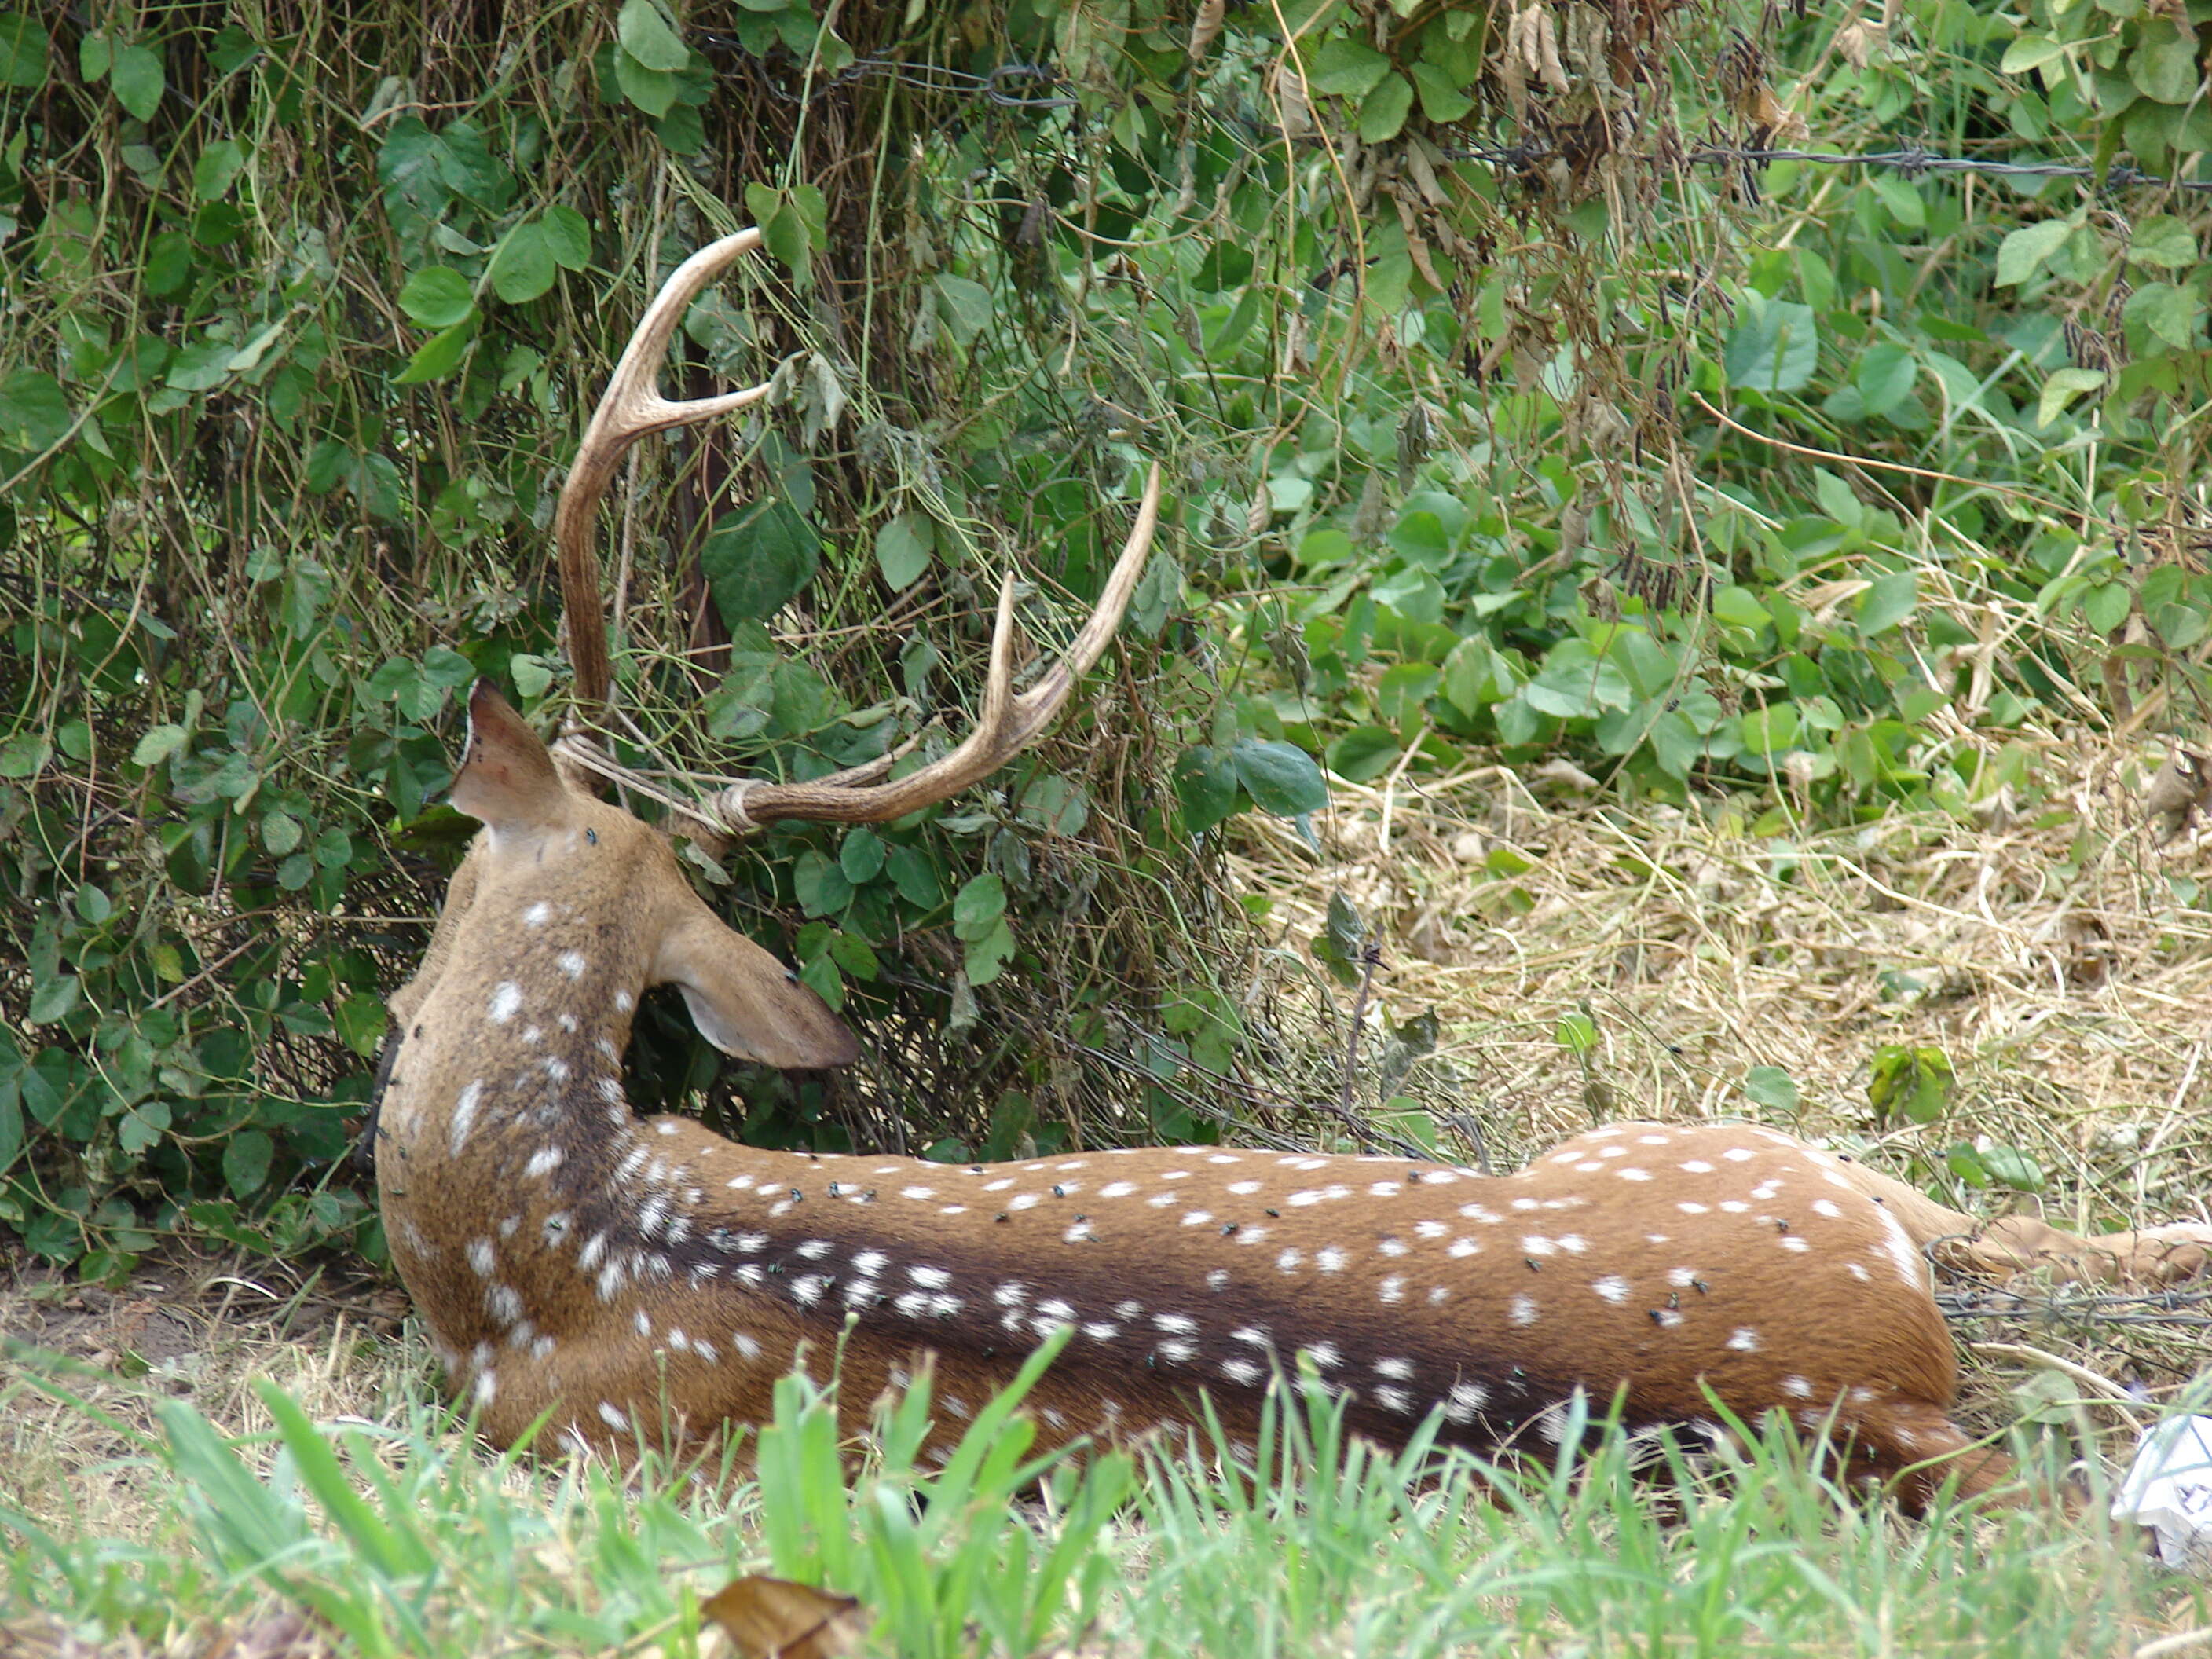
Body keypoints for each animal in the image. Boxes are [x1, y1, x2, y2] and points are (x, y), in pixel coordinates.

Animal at [372, 228, 2203, 1513]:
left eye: (453, 875)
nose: (395, 1000)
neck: (538, 1257)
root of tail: (1869, 1392)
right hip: (1720, 1170)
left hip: (1671, 1140)